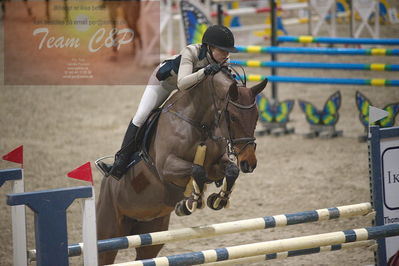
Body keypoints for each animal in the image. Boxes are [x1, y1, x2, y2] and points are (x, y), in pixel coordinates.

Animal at [95, 67, 268, 264]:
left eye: (257, 116)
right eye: (233, 117)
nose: (249, 163)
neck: (200, 122)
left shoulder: (215, 166)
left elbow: (230, 171)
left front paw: (217, 199)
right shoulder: (166, 167)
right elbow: (197, 171)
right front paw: (191, 203)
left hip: (152, 232)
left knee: (145, 254)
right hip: (109, 232)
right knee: (105, 253)